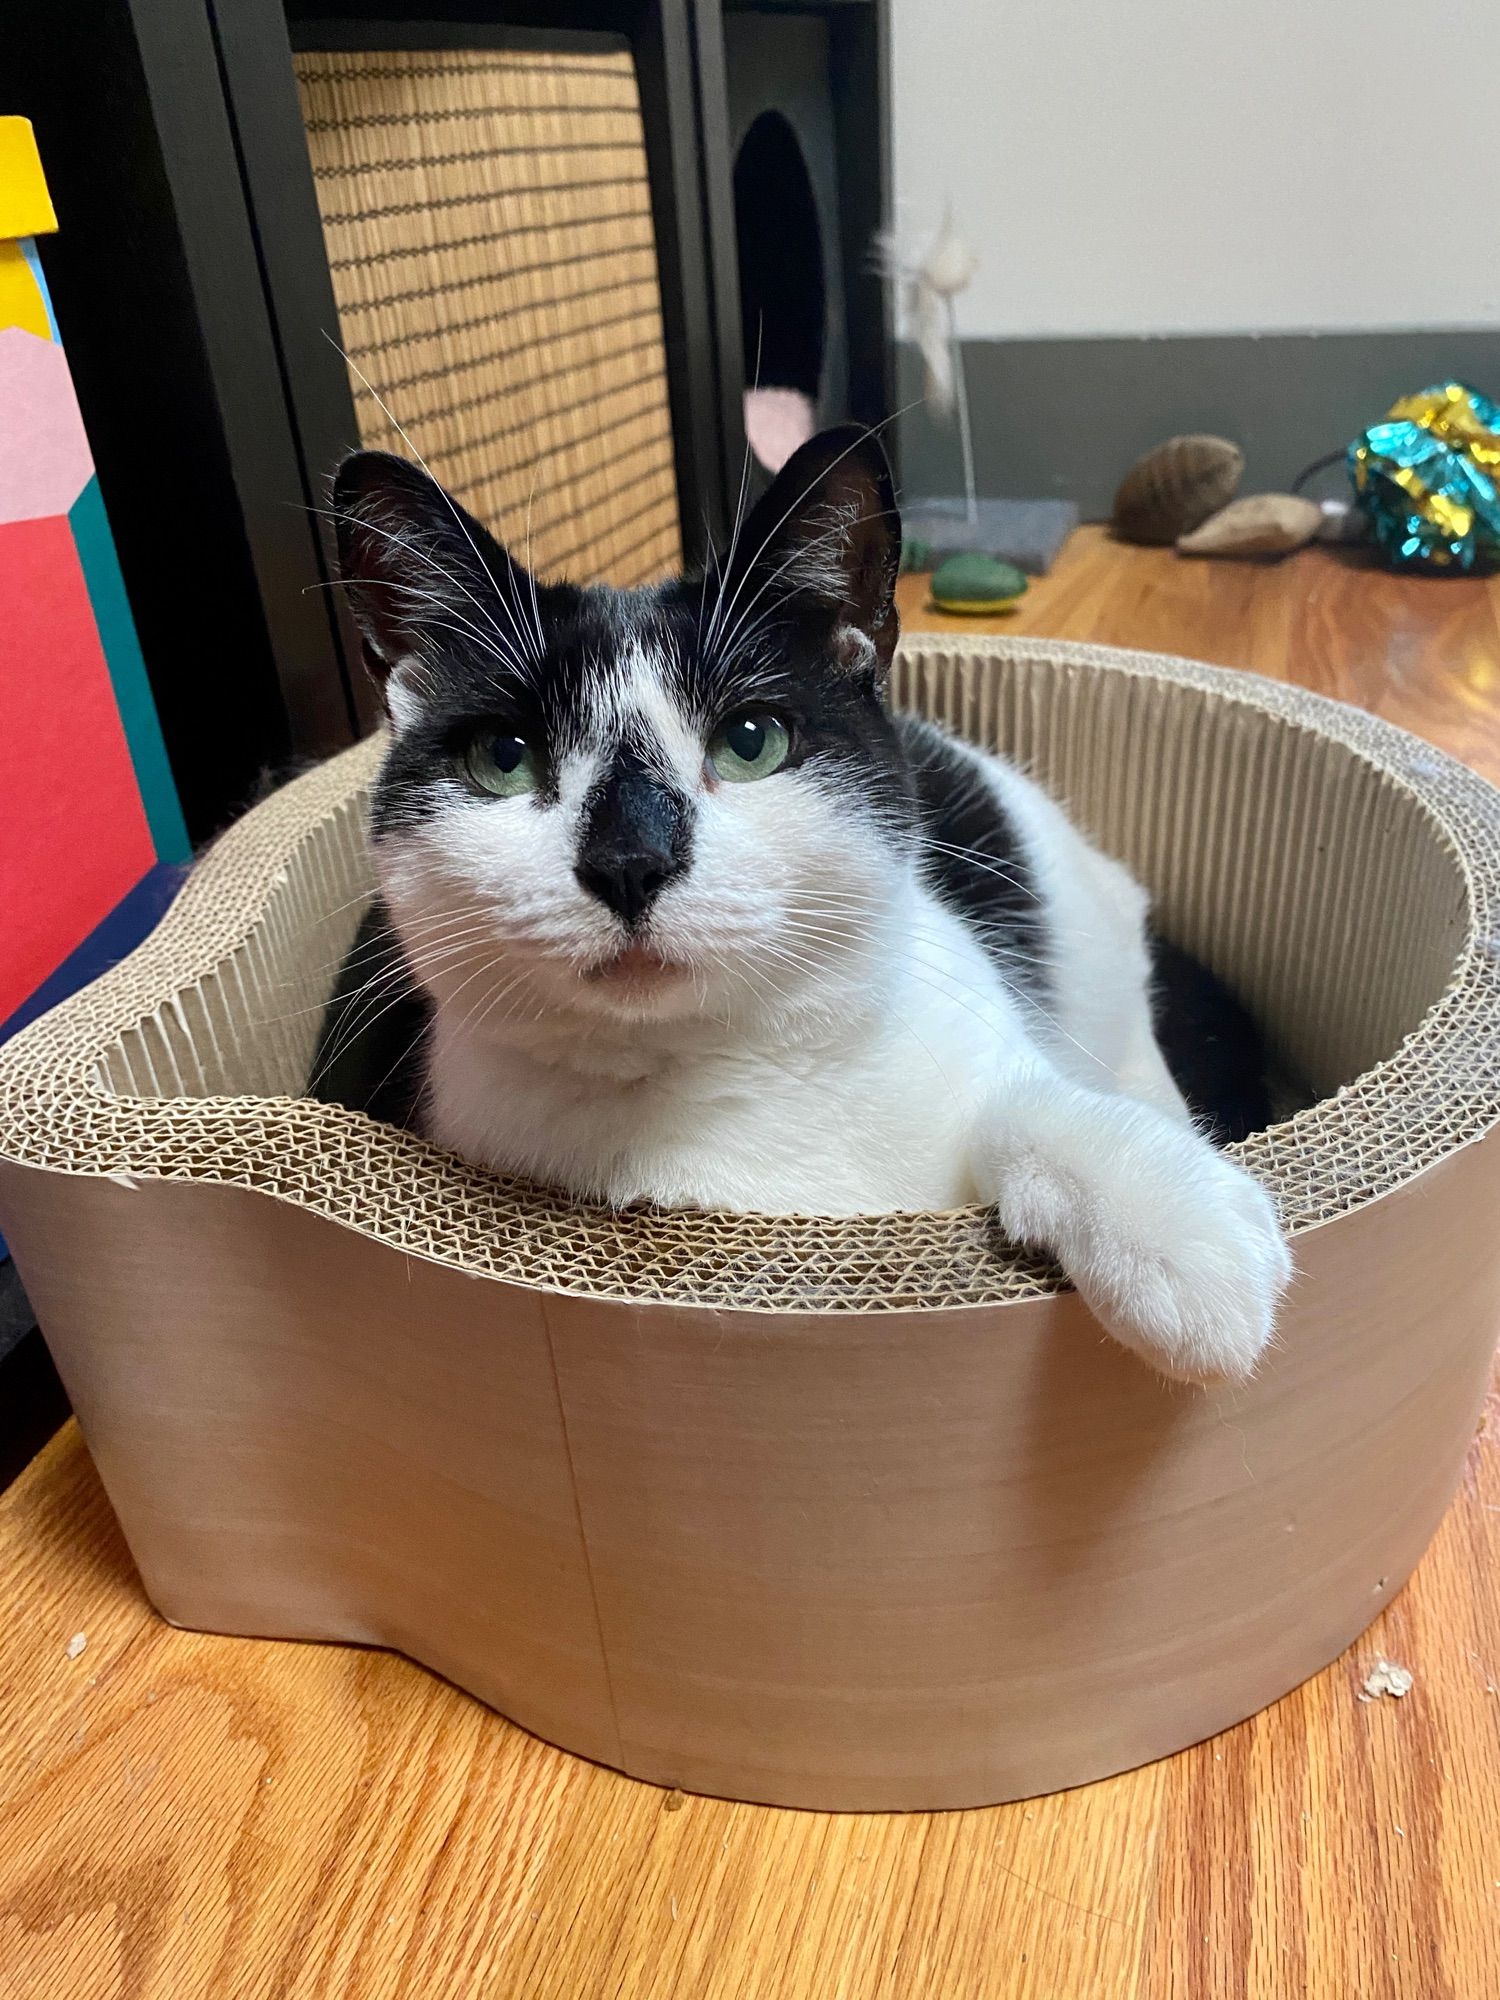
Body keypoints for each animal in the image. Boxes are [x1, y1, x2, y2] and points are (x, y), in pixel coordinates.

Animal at [326, 430, 1296, 1384]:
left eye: (750, 741)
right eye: (505, 756)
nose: (631, 860)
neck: (711, 1079)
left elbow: (1026, 1104)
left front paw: (1182, 1237)